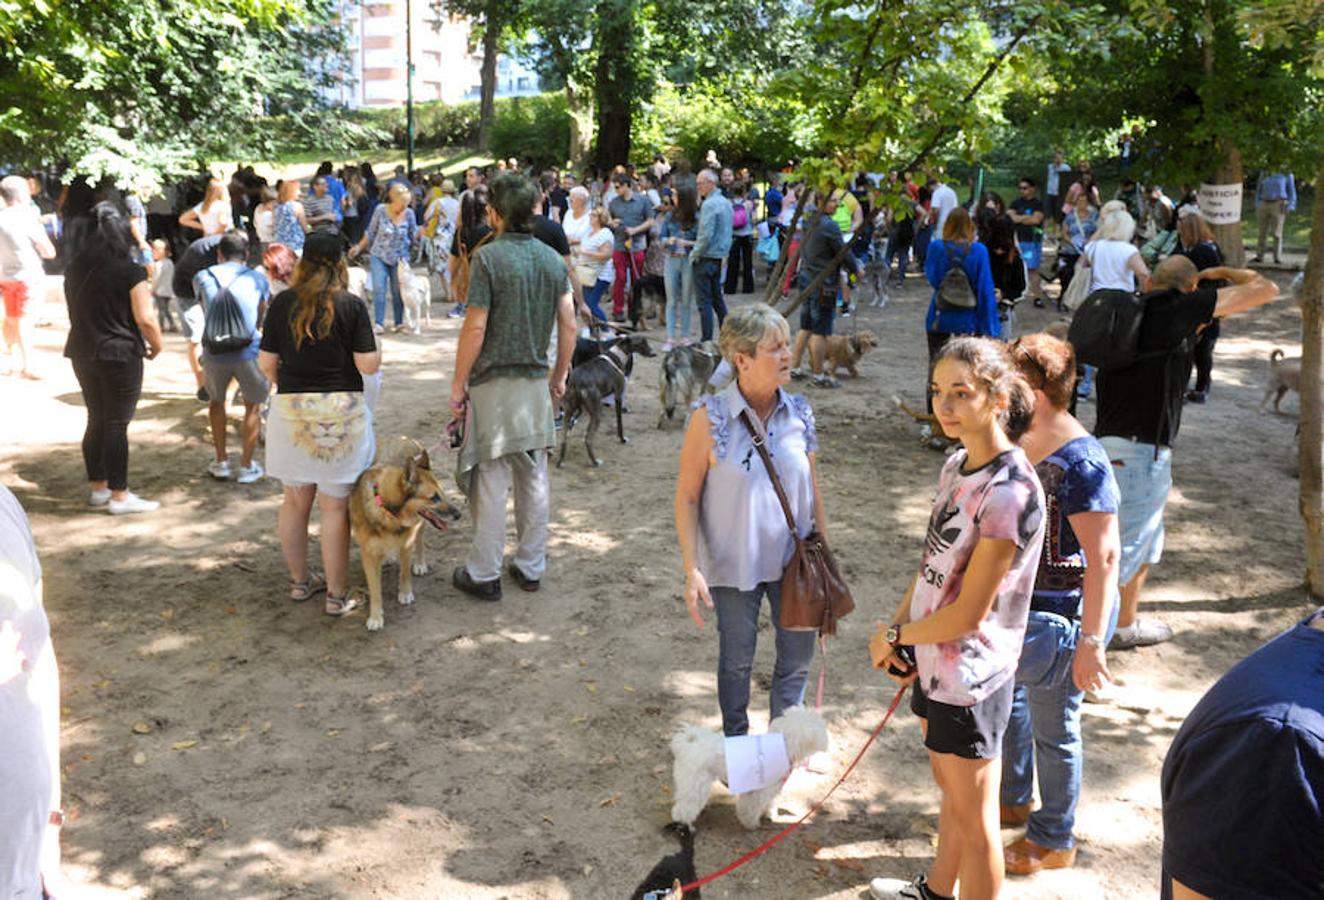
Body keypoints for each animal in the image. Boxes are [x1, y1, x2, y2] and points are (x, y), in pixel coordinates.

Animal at [349, 436, 463, 632]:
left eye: (442, 494)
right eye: (434, 498)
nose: (458, 515)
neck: (388, 512)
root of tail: (404, 438)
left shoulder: (406, 544)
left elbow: (404, 573)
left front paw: (405, 593)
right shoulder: (368, 555)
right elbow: (375, 590)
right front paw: (376, 617)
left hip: (421, 526)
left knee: (420, 541)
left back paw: (420, 564)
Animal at [556, 333, 654, 468]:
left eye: (646, 341)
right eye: (642, 342)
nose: (654, 353)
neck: (617, 354)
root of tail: (578, 382)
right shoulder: (618, 396)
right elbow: (620, 423)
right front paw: (622, 439)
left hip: (570, 410)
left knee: (564, 437)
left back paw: (560, 461)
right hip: (597, 413)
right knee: (587, 439)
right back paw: (595, 462)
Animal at [672, 709, 826, 831]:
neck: (783, 746)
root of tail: (689, 742)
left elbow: (768, 802)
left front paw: (769, 813)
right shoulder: (758, 791)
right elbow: (751, 807)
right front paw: (751, 823)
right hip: (696, 783)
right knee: (684, 807)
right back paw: (685, 823)